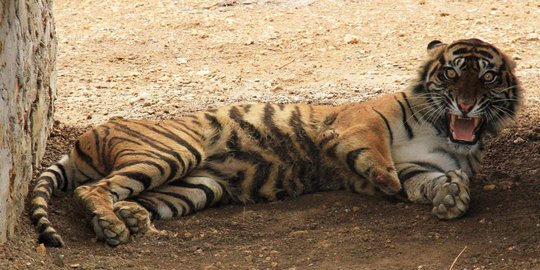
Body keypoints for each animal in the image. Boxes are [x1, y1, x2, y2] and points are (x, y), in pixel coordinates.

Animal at [30, 38, 524, 247]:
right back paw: (113, 227)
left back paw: (129, 219)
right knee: (90, 189)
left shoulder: (423, 167)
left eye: (486, 77)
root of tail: (81, 140)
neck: (443, 131)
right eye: (451, 73)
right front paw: (386, 179)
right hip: (173, 152)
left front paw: (452, 198)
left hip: (196, 185)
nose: (465, 104)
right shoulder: (359, 121)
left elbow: (432, 183)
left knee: (124, 194)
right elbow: (376, 151)